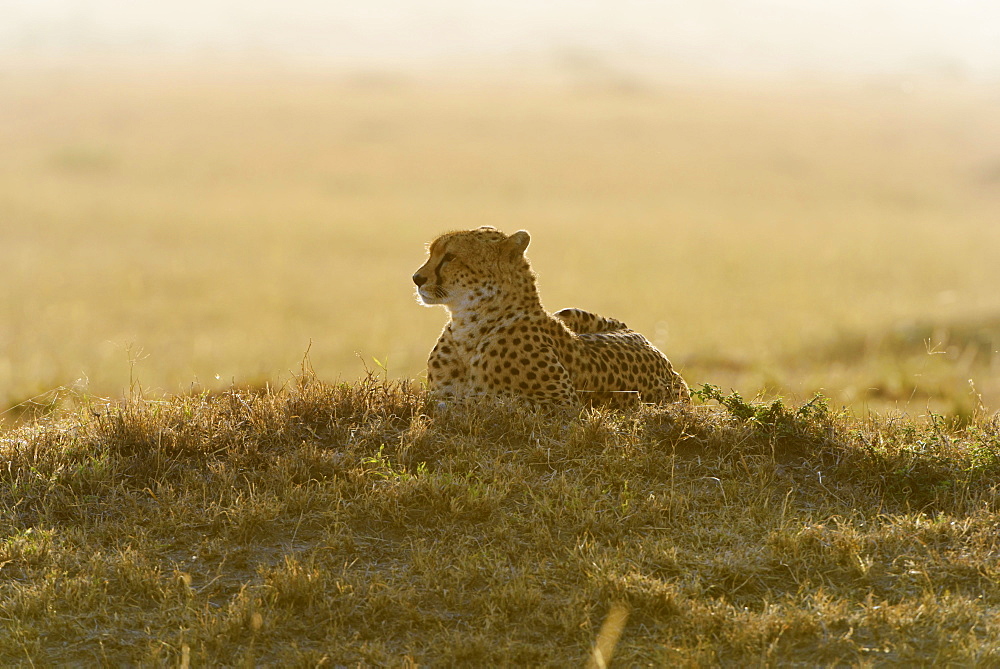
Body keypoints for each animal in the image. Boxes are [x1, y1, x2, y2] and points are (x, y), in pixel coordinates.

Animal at [408, 227, 688, 410]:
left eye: (450, 257)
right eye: (431, 253)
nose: (417, 278)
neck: (470, 324)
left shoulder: (563, 404)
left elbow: (491, 400)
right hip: (567, 311)